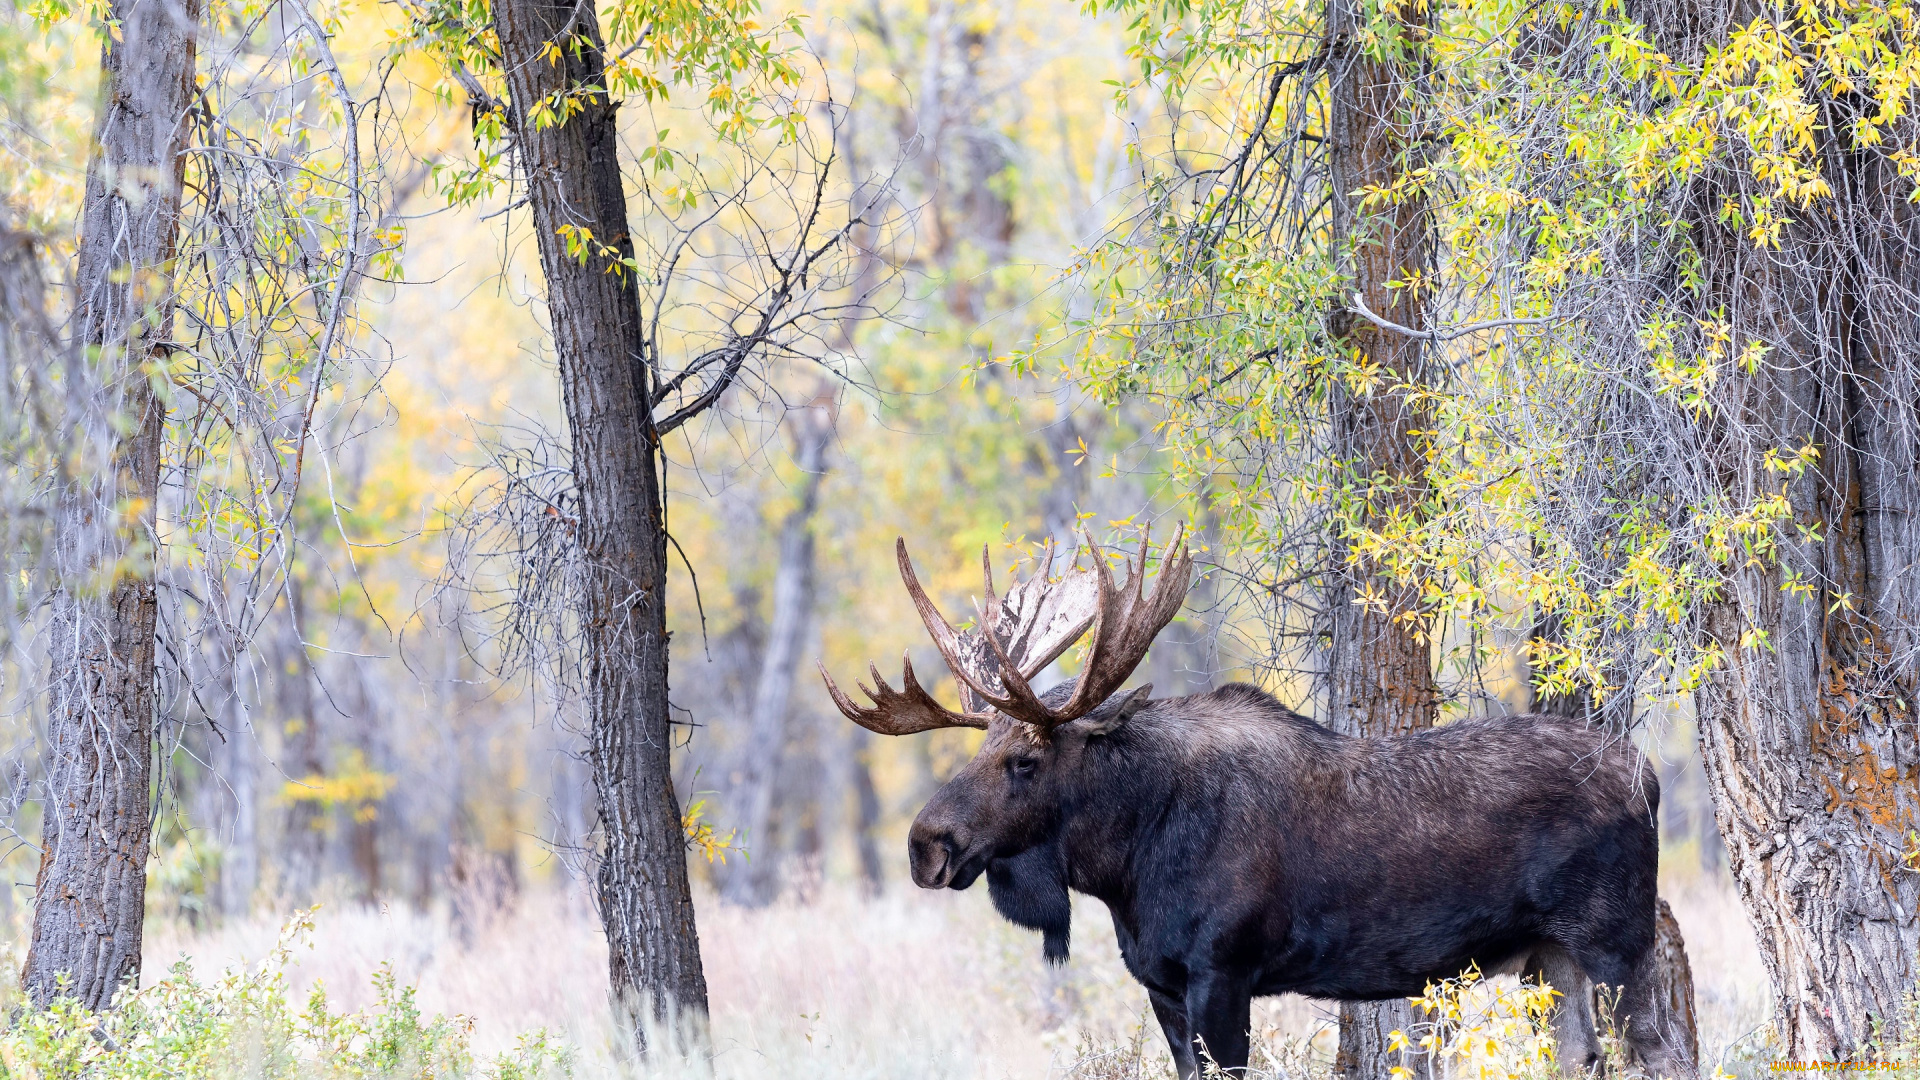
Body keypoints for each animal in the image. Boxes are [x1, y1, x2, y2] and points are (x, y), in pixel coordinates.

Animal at [817, 530, 1689, 1076]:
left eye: (1024, 759)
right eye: (976, 748)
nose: (925, 844)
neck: (1125, 865)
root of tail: (1649, 775)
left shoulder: (1224, 973)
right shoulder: (1162, 984)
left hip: (1615, 941)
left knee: (1662, 1052)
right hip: (1553, 954)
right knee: (1584, 1057)